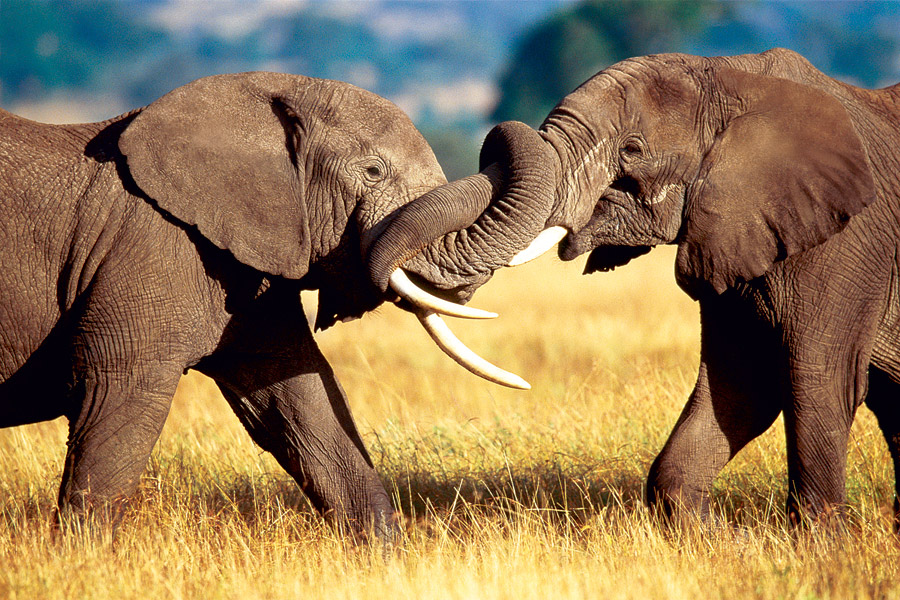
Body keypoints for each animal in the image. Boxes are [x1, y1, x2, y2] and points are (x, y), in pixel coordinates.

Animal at [0, 71, 557, 541]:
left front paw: (386, 563)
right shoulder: (151, 247)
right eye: (373, 172)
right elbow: (118, 401)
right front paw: (82, 558)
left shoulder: (246, 264)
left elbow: (300, 399)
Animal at [383, 48, 900, 529]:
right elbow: (743, 385)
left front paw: (817, 545)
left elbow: (818, 382)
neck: (737, 76)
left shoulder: (847, 243)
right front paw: (719, 540)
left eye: (632, 150)